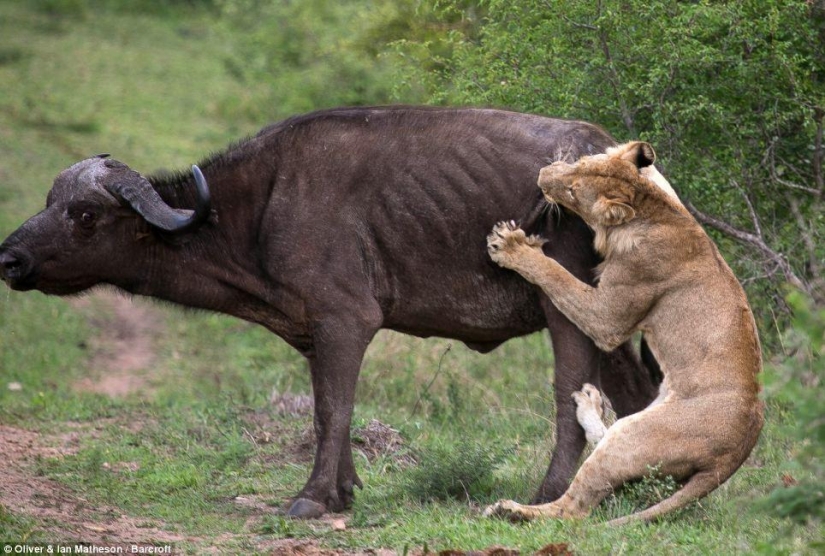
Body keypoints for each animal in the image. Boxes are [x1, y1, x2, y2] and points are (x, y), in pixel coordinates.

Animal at [0, 106, 658, 518]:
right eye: (50, 201)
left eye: (85, 215)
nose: (10, 258)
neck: (257, 209)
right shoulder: (317, 334)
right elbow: (328, 409)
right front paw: (344, 490)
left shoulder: (345, 322)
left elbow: (332, 410)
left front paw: (314, 497)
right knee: (638, 391)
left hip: (568, 312)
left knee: (571, 397)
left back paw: (549, 493)